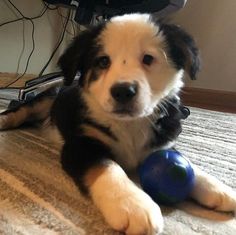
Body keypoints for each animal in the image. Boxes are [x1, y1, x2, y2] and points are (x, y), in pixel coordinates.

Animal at [0, 13, 236, 234]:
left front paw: (218, 188)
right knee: (20, 110)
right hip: (46, 98)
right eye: (103, 61)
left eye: (148, 59)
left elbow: (187, 161)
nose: (123, 91)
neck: (129, 125)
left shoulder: (162, 141)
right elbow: (107, 167)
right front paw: (133, 204)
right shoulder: (81, 145)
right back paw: (4, 119)